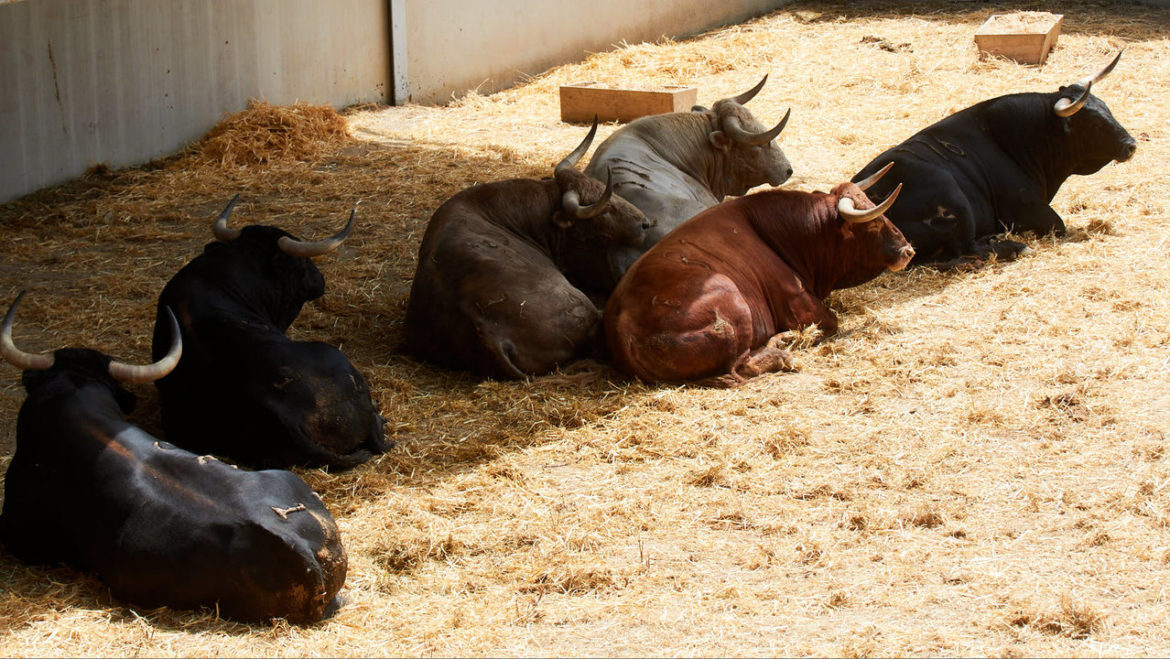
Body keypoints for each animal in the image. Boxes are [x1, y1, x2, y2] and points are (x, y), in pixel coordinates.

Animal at [603, 162, 912, 386]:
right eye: (873, 224)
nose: (907, 250)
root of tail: (621, 325)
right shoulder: (801, 306)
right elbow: (830, 322)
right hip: (731, 304)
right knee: (741, 368)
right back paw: (781, 351)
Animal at [856, 50, 1137, 269]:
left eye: (1107, 108)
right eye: (1094, 123)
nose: (1131, 145)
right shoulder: (1029, 210)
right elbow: (1059, 225)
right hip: (951, 192)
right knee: (968, 248)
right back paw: (1012, 246)